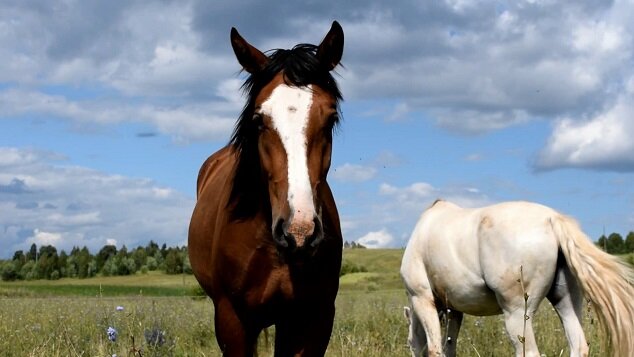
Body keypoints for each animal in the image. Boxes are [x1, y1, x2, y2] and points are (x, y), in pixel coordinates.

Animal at [400, 199, 632, 354]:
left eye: (409, 343)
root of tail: (552, 219)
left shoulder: (422, 299)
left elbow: (434, 349)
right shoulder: (454, 310)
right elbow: (449, 347)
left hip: (516, 313)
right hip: (566, 302)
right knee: (579, 346)